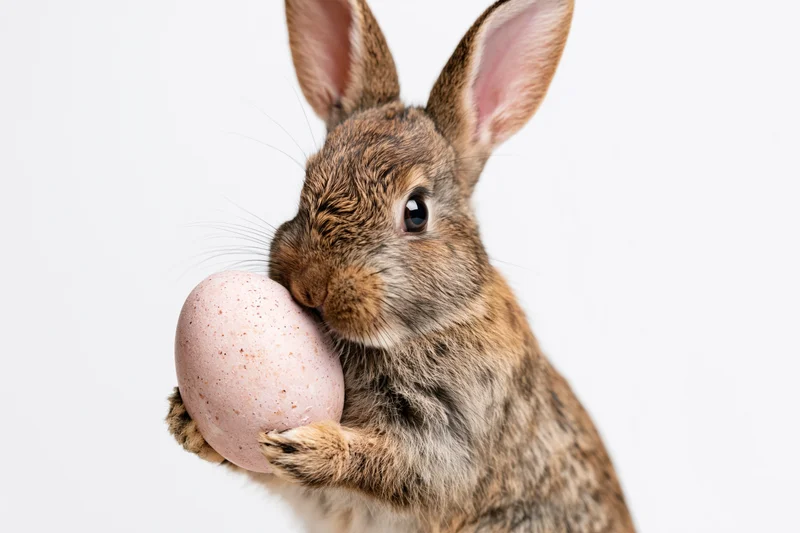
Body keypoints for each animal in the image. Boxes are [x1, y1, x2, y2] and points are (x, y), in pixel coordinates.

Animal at [166, 0, 636, 531]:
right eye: (307, 179)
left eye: (416, 211)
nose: (311, 285)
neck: (427, 324)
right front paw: (188, 421)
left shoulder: (454, 441)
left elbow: (399, 466)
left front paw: (311, 448)